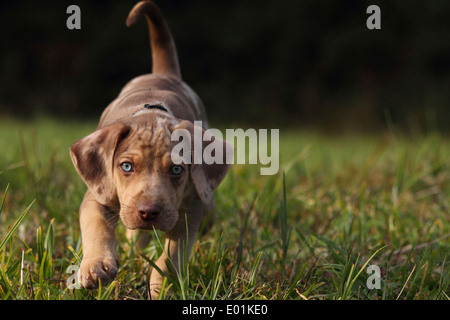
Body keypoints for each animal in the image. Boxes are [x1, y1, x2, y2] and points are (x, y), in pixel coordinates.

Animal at [71, 1, 232, 298]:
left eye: (178, 169)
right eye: (126, 166)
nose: (148, 212)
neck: (153, 115)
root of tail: (163, 73)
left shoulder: (189, 208)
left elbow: (172, 255)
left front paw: (161, 286)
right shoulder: (97, 195)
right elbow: (96, 227)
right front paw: (96, 266)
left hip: (206, 201)